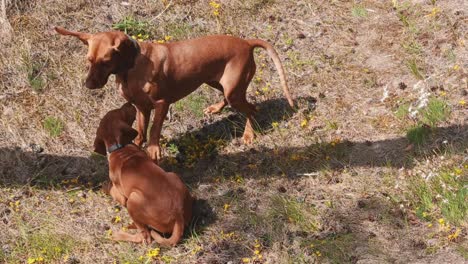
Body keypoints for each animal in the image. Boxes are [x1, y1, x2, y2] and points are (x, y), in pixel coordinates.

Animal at [55, 27, 292, 163]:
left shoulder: (162, 103)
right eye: (89, 60)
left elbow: (154, 130)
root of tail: (246, 43)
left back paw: (249, 133)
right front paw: (137, 144)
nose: (88, 85)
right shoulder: (141, 107)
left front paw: (153, 150)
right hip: (217, 82)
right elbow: (140, 131)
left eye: (105, 62)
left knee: (253, 108)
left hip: (233, 90)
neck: (131, 67)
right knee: (231, 99)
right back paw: (216, 108)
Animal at [94, 102, 193, 245]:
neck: (120, 147)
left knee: (144, 236)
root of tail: (178, 216)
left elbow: (112, 190)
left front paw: (105, 186)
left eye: (119, 111)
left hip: (133, 200)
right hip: (173, 175)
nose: (129, 103)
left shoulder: (123, 197)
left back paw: (118, 235)